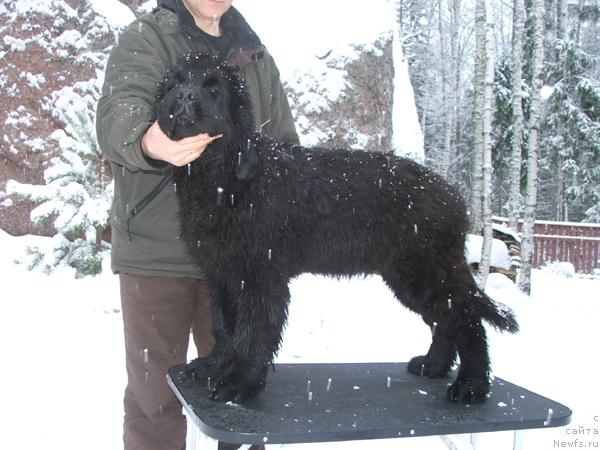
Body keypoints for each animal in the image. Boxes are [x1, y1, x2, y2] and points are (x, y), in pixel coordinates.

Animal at [154, 52, 516, 404]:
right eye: (174, 83)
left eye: (214, 89)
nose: (184, 95)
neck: (224, 178)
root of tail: (454, 197)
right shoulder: (221, 273)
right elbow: (223, 326)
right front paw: (213, 365)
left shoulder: (259, 276)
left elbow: (252, 331)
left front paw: (239, 384)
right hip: (409, 277)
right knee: (446, 321)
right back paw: (434, 366)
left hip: (424, 271)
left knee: (467, 321)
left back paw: (471, 386)